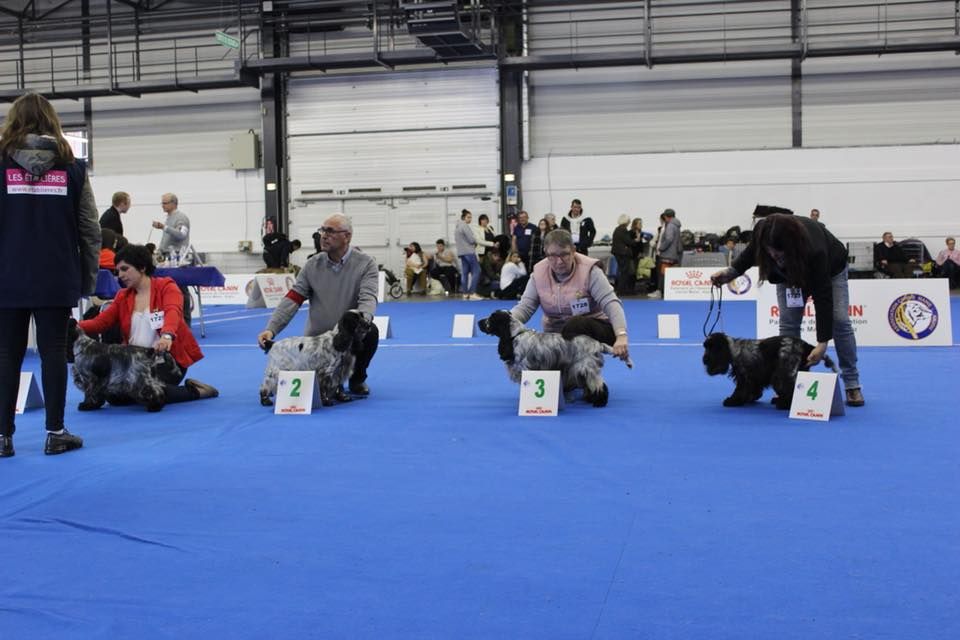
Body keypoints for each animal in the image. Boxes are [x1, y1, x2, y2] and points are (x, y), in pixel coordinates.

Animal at [478, 308, 632, 408]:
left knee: (600, 386)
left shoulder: (525, 369)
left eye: (490, 319)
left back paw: (599, 403)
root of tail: (597, 343)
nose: (479, 322)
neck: (515, 335)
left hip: (587, 368)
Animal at [700, 330, 836, 410]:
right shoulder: (754, 377)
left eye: (711, 347)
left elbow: (740, 389)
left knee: (790, 386)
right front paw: (750, 398)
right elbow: (753, 389)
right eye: (705, 347)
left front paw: (732, 401)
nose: (704, 359)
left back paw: (784, 404)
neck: (734, 350)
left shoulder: (744, 375)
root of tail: (805, 345)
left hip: (783, 372)